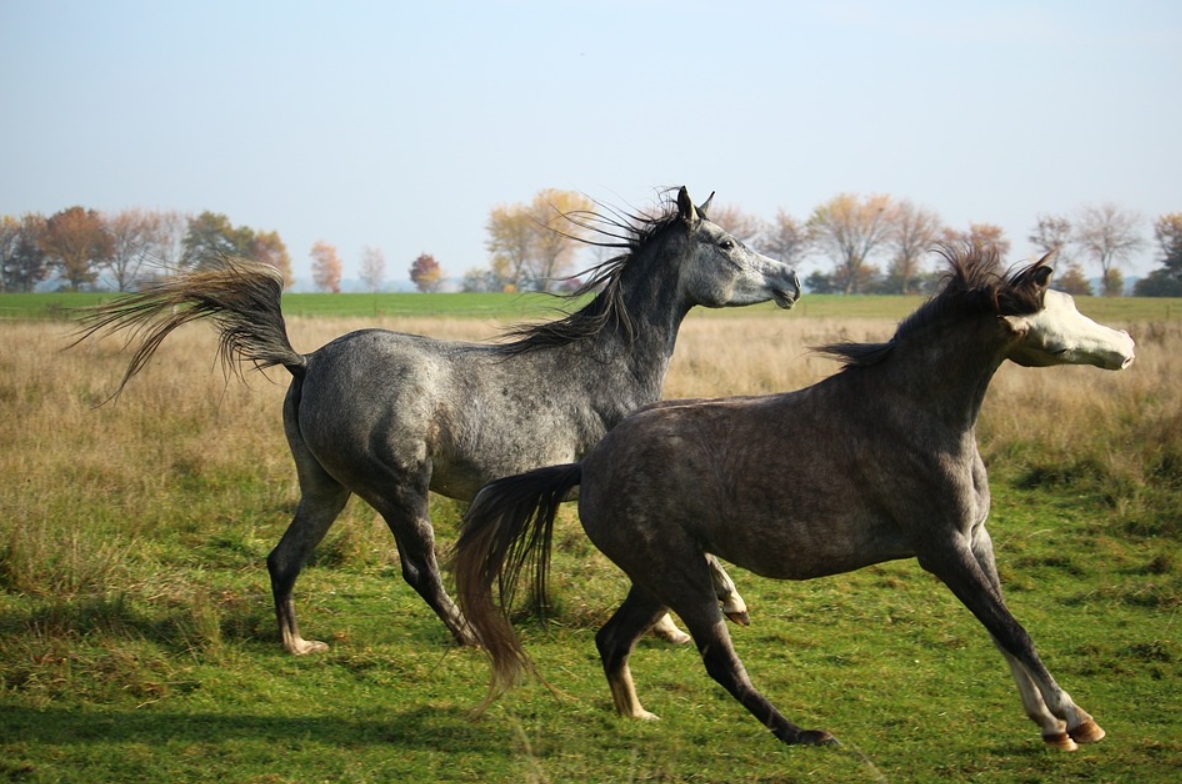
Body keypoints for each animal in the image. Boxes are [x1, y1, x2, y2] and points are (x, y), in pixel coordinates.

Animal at [78, 190, 799, 657]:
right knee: (419, 569)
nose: (792, 280)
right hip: (399, 490)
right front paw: (708, 615)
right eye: (727, 242)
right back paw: (472, 637)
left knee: (284, 560)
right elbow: (687, 558)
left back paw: (299, 644)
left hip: (326, 488)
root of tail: (307, 361)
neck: (609, 364)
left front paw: (688, 620)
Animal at [451, 248, 1134, 752]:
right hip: (681, 576)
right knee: (719, 662)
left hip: (658, 576)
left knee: (613, 641)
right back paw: (803, 734)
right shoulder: (941, 549)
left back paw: (638, 716)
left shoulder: (976, 540)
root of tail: (587, 466)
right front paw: (1077, 722)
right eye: (1056, 316)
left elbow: (1003, 631)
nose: (1126, 345)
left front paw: (1051, 726)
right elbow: (1013, 630)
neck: (914, 414)